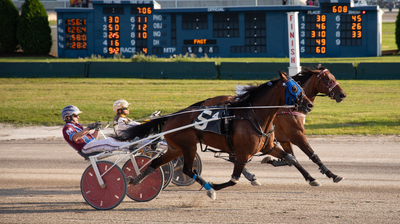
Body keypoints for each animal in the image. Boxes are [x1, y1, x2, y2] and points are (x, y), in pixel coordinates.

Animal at [114, 71, 314, 199]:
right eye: (294, 89)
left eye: (300, 87)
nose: (309, 105)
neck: (255, 115)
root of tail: (172, 117)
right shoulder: (243, 154)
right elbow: (234, 179)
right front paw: (216, 185)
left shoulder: (268, 146)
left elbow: (291, 158)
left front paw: (312, 179)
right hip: (189, 146)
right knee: (187, 170)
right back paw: (209, 188)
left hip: (175, 148)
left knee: (156, 163)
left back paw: (136, 180)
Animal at [202, 66, 346, 186]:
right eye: (327, 79)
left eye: (333, 77)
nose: (342, 95)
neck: (288, 109)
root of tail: (206, 102)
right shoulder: (296, 135)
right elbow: (312, 155)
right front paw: (332, 175)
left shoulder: (285, 139)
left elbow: (290, 157)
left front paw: (272, 160)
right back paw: (251, 176)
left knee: (234, 157)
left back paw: (251, 176)